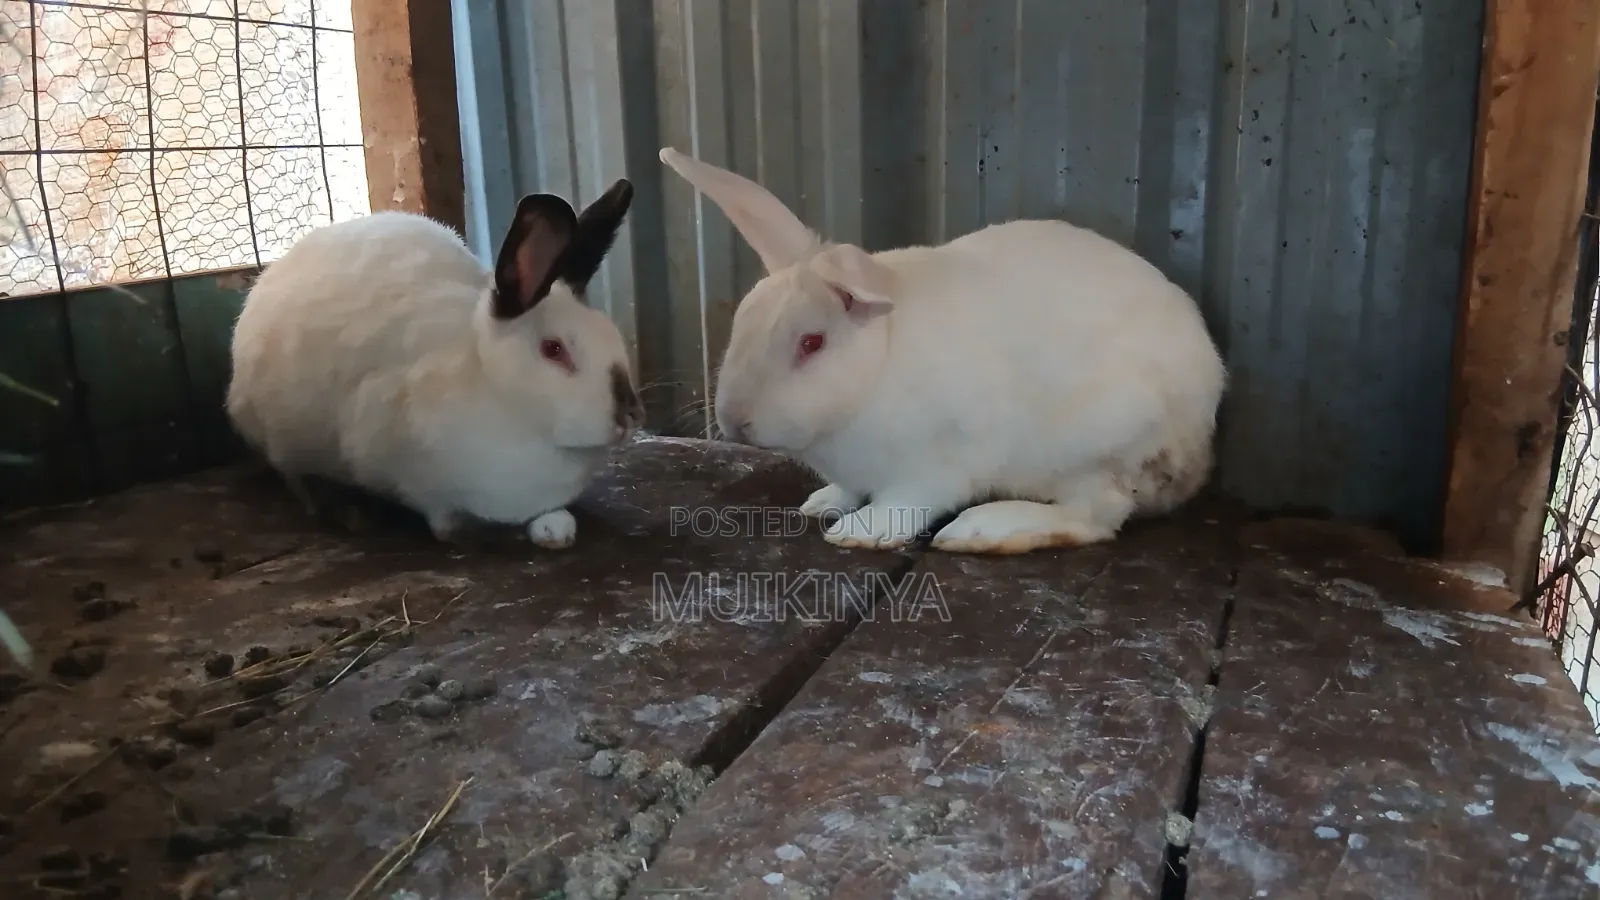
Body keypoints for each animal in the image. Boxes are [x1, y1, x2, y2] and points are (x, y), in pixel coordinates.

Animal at [225, 180, 645, 550]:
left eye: (611, 335)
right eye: (553, 349)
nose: (630, 414)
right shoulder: (405, 468)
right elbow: (443, 521)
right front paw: (471, 532)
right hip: (283, 437)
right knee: (297, 478)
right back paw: (349, 511)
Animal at [658, 147, 1226, 554]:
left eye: (811, 343)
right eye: (742, 321)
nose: (734, 420)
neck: (876, 370)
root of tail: (1199, 447)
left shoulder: (939, 463)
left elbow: (907, 501)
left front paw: (859, 531)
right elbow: (847, 489)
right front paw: (824, 504)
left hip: (1099, 445)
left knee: (1094, 518)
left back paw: (980, 532)